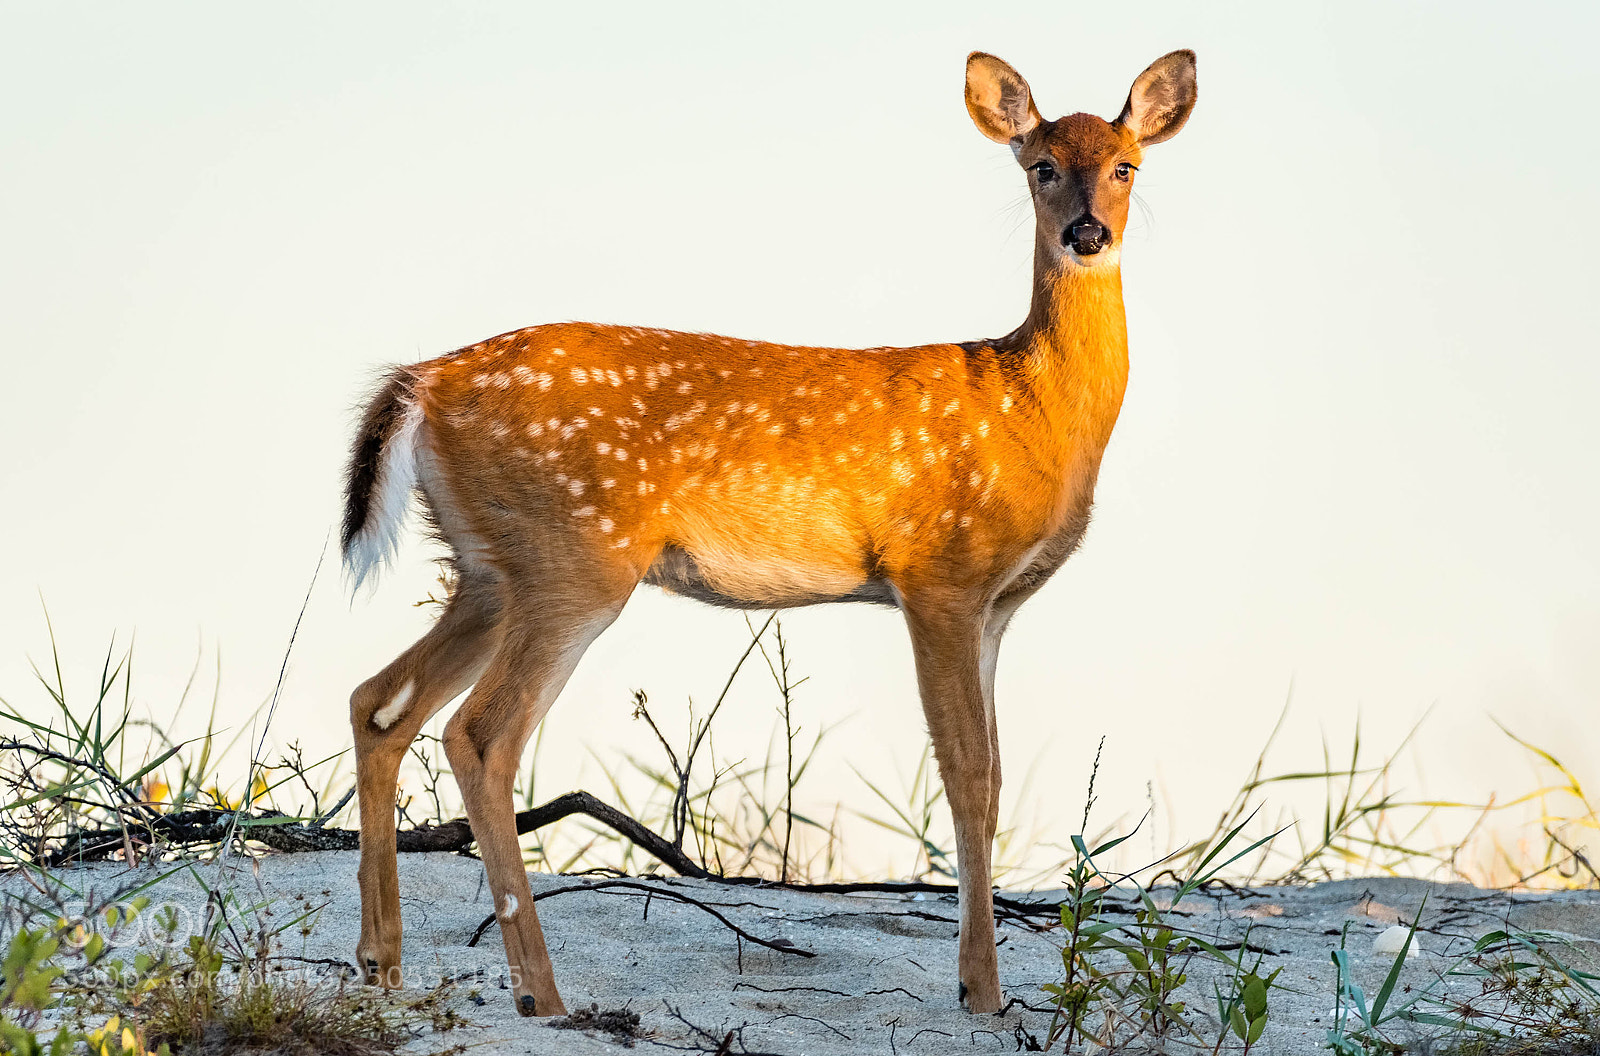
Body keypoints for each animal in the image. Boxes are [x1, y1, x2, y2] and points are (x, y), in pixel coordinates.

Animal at [340, 49, 1196, 1017]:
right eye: (1041, 166)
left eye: (1127, 165)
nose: (1088, 232)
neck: (1032, 407)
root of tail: (421, 383)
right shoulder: (938, 574)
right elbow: (967, 773)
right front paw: (980, 991)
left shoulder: (997, 605)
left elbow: (997, 774)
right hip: (574, 560)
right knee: (480, 735)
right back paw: (541, 997)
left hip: (489, 568)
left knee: (379, 702)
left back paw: (383, 962)